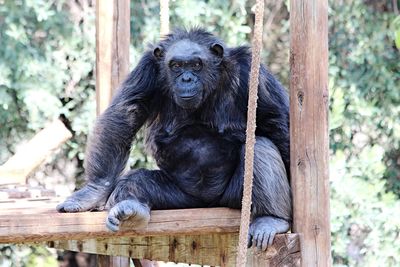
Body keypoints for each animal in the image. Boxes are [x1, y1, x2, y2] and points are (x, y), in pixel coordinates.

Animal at [57, 28, 290, 251]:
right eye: (176, 65)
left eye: (196, 64)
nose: (186, 78)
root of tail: (209, 203)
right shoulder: (147, 69)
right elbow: (124, 115)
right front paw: (94, 191)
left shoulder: (250, 71)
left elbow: (277, 117)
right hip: (180, 198)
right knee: (137, 181)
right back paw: (130, 210)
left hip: (235, 197)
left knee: (260, 147)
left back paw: (271, 219)